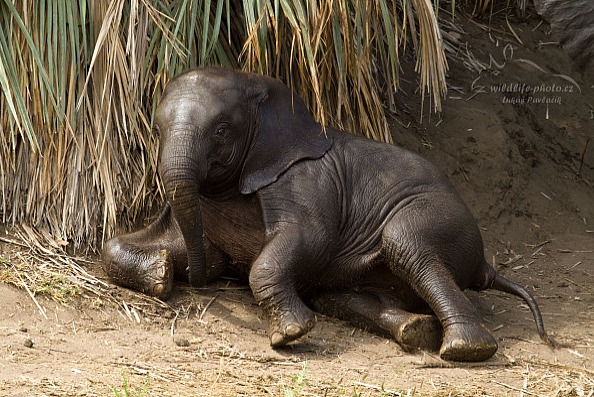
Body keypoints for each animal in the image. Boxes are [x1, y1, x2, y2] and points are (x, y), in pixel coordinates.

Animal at [103, 65, 552, 362]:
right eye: (156, 131)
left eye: (221, 130)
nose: (193, 283)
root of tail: (483, 266)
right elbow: (121, 247)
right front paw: (161, 272)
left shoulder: (305, 180)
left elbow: (307, 241)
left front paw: (291, 335)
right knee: (337, 295)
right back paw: (414, 331)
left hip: (442, 215)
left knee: (404, 242)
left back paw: (465, 350)